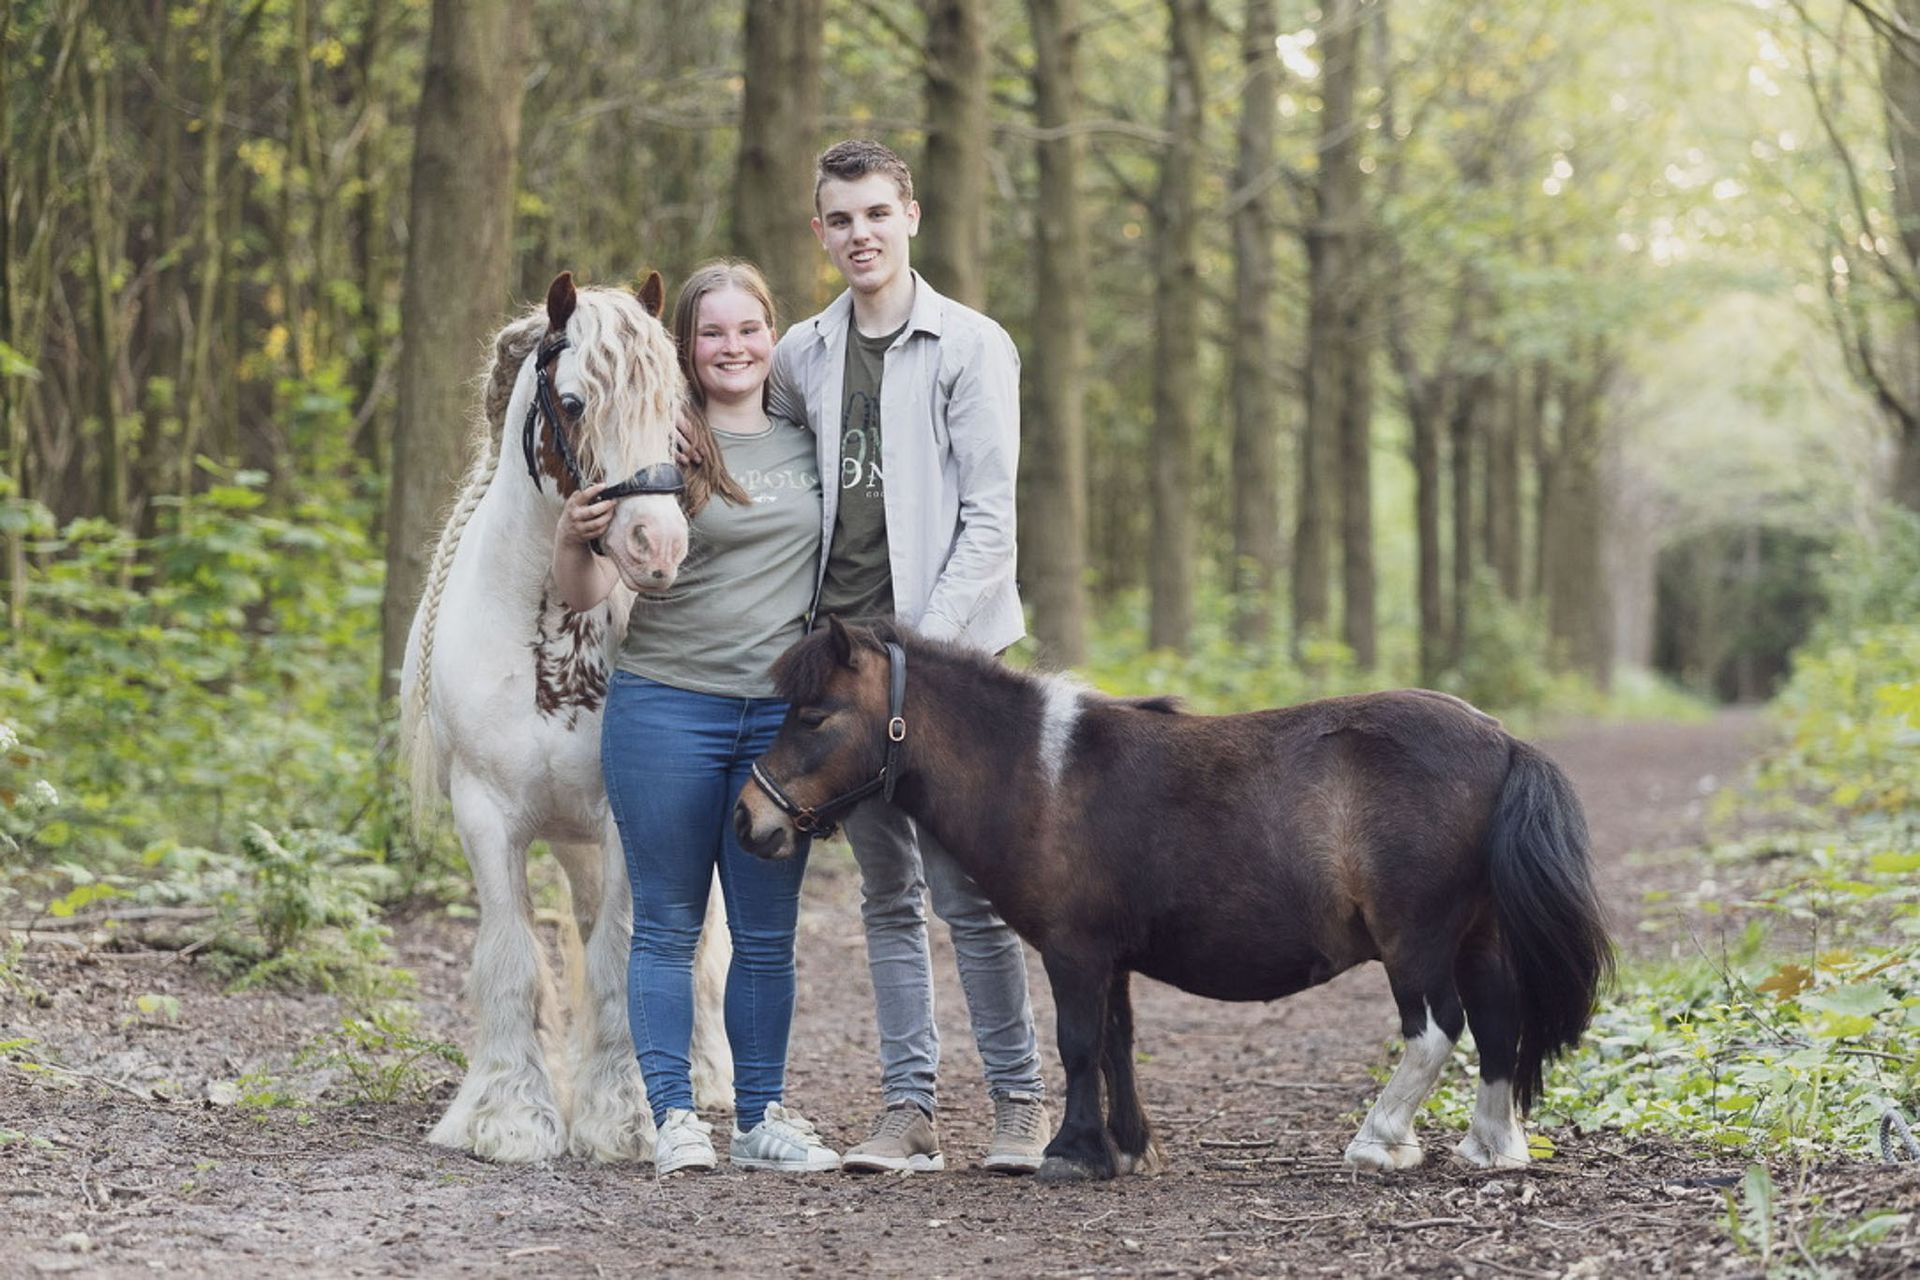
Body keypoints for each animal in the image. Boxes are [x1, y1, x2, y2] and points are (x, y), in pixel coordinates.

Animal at [399, 271, 734, 1163]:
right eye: (575, 403)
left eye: (674, 403)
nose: (656, 545)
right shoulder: (486, 816)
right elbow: (514, 958)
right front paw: (510, 1116)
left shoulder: (631, 820)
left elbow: (621, 957)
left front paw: (625, 1114)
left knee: (699, 948)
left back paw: (708, 1076)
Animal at [734, 617, 1614, 1182]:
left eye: (813, 714)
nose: (749, 820)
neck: (1038, 773)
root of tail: (1502, 741)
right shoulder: (1113, 957)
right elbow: (1119, 1042)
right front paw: (1127, 1146)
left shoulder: (1075, 951)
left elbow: (1079, 1044)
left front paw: (1073, 1152)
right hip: (1477, 935)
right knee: (1498, 1024)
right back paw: (1492, 1146)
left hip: (1417, 940)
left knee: (1437, 1031)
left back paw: (1379, 1140)